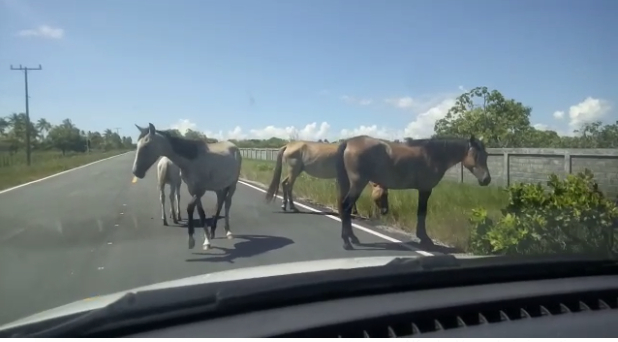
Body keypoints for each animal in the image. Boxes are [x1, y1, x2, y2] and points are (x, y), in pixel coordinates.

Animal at [334, 135, 488, 250]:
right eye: (475, 155)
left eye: (486, 155)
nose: (486, 179)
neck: (433, 155)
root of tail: (348, 143)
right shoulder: (425, 189)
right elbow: (422, 212)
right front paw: (425, 239)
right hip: (358, 184)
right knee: (346, 206)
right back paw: (347, 242)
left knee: (345, 207)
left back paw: (352, 238)